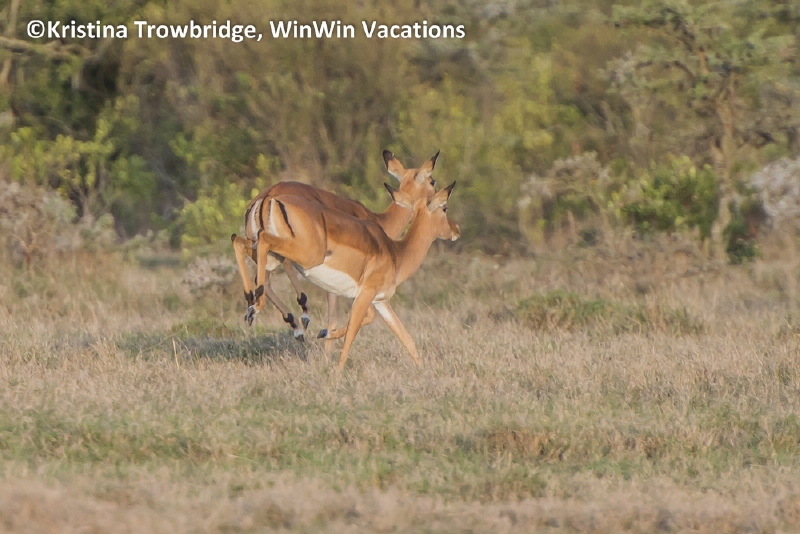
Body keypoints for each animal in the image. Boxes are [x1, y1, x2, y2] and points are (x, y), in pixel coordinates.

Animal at [231, 150, 439, 340]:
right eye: (432, 181)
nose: (439, 202)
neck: (377, 220)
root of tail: (266, 198)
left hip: (260, 248)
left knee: (248, 255)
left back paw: (271, 314)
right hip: (295, 250)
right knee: (279, 262)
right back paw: (300, 314)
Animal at [247, 182, 459, 370]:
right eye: (445, 208)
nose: (456, 230)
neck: (397, 253)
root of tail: (269, 199)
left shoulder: (380, 300)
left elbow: (405, 337)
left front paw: (423, 370)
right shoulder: (365, 295)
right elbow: (351, 334)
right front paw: (336, 372)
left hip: (274, 254)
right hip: (301, 255)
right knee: (261, 243)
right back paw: (261, 308)